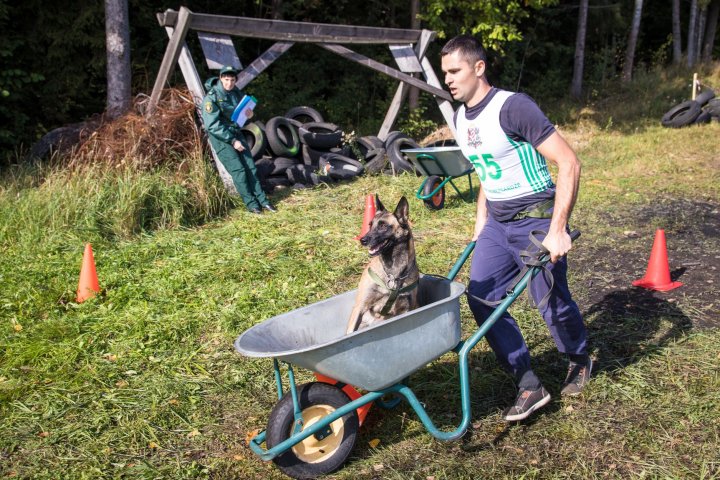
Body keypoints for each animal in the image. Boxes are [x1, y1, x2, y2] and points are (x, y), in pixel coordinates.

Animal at [346, 195, 420, 334]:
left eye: (383, 226)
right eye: (370, 225)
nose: (362, 240)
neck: (393, 272)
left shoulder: (409, 307)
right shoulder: (359, 308)